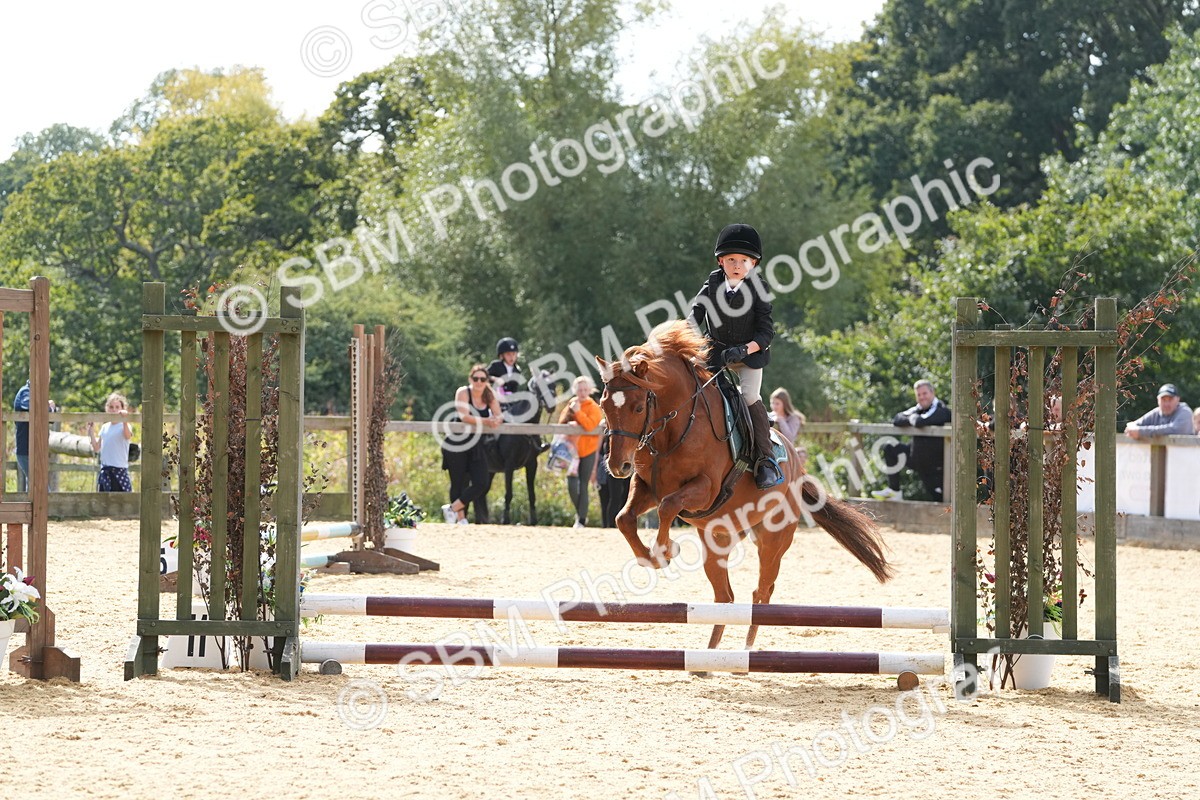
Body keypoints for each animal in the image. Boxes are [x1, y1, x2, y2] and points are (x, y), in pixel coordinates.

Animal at [596, 320, 893, 652]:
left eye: (637, 408)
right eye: (603, 405)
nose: (617, 466)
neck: (673, 428)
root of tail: (798, 468)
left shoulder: (705, 489)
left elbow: (667, 506)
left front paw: (664, 551)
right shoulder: (646, 486)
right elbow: (624, 518)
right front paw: (650, 557)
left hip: (773, 540)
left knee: (762, 592)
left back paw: (746, 649)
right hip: (719, 538)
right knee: (725, 597)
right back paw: (710, 657)